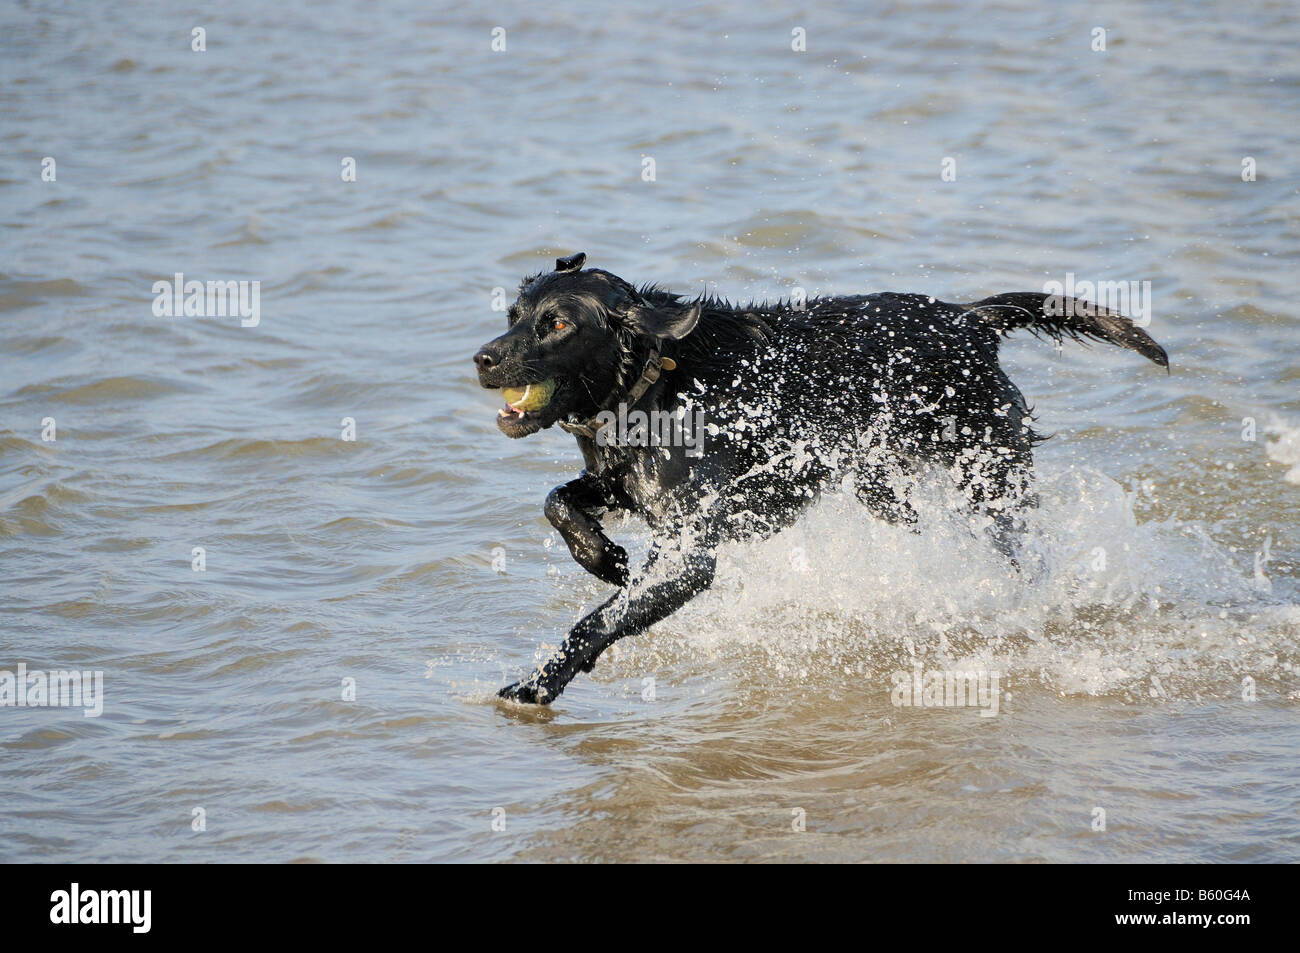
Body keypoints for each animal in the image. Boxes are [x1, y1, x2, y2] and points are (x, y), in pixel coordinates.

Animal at [478, 249, 1170, 702]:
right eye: (512, 315)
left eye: (557, 324)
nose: (483, 358)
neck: (654, 386)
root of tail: (969, 319)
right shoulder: (620, 485)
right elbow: (558, 502)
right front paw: (605, 558)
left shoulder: (692, 554)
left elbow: (597, 620)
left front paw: (539, 683)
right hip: (883, 490)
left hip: (987, 484)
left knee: (1023, 556)